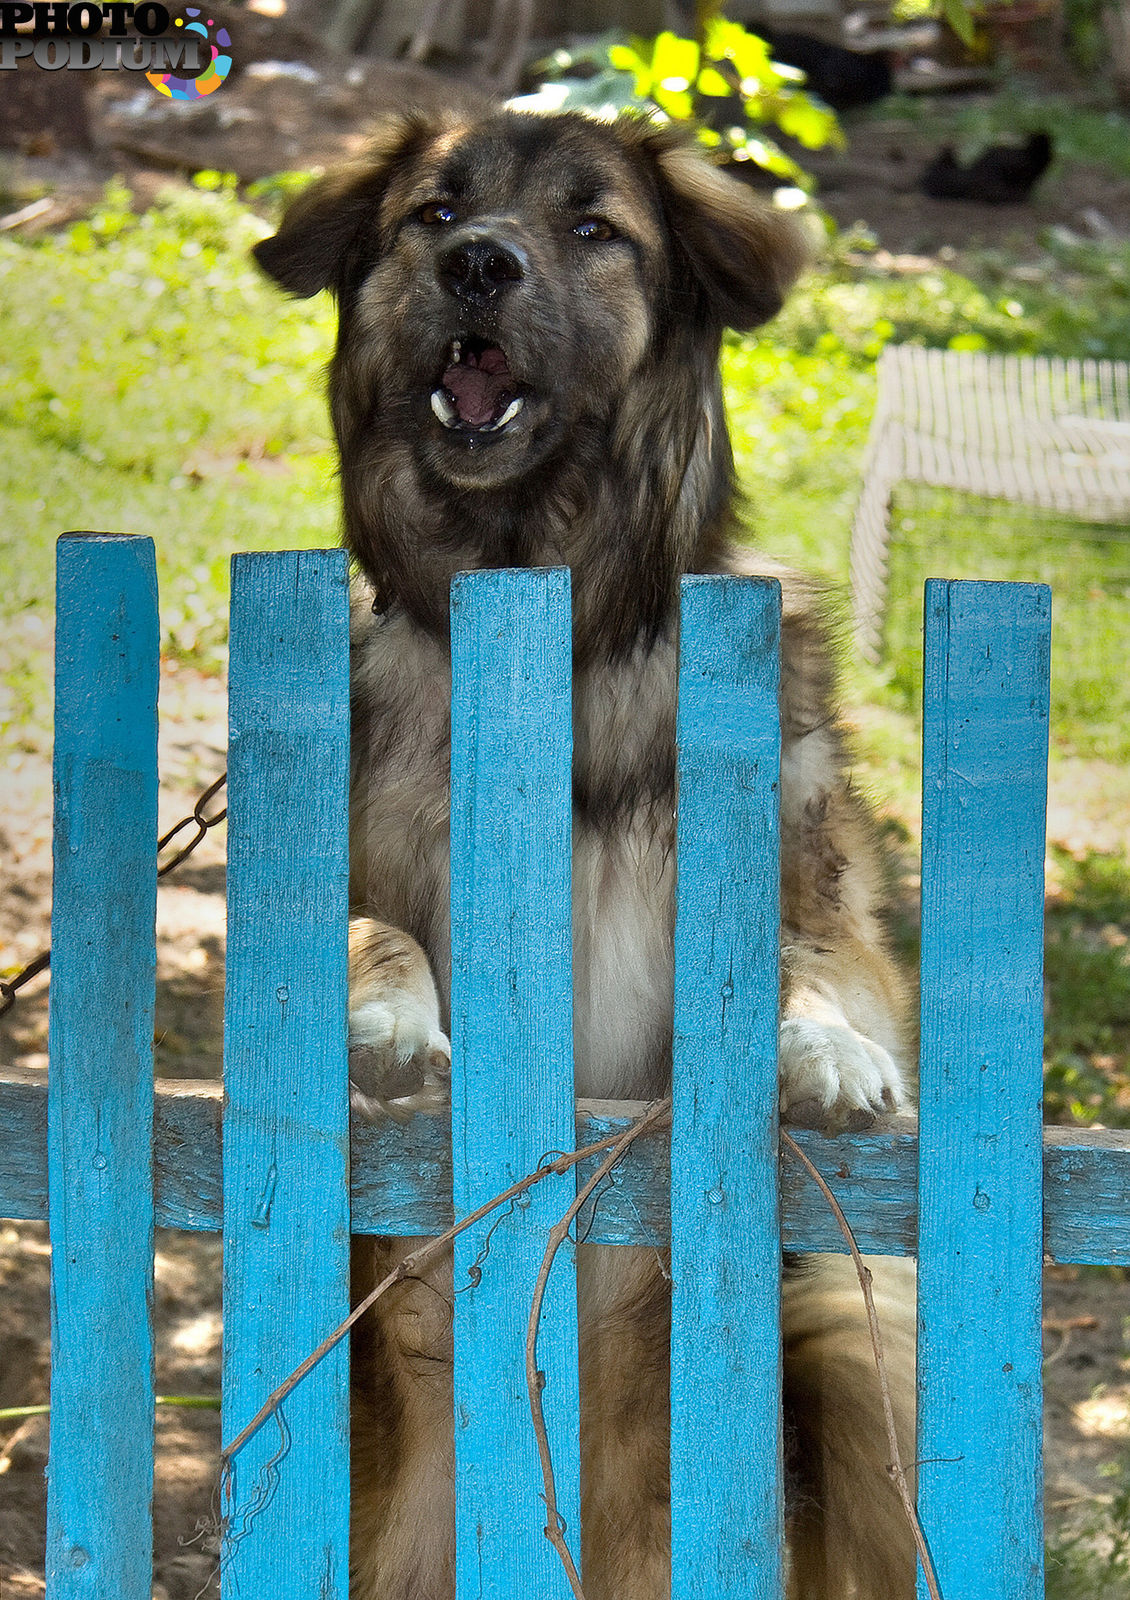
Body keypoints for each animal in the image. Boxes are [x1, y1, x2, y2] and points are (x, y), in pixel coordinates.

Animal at [256, 109, 915, 1600]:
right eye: (435, 213)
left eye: (592, 226)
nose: (478, 266)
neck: (550, 633)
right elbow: (364, 925)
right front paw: (388, 1017)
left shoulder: (820, 902)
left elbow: (810, 967)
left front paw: (823, 1054)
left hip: (846, 1356)